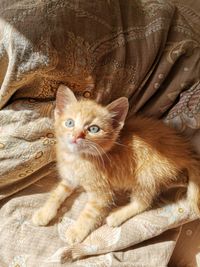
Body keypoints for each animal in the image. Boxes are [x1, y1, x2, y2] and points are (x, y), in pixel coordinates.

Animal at [32, 85, 199, 246]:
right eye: (70, 123)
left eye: (93, 129)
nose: (76, 136)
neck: (77, 158)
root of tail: (185, 151)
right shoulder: (70, 179)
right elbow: (58, 192)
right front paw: (44, 213)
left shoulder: (102, 193)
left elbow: (89, 213)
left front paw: (76, 231)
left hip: (147, 173)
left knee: (143, 203)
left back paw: (117, 216)